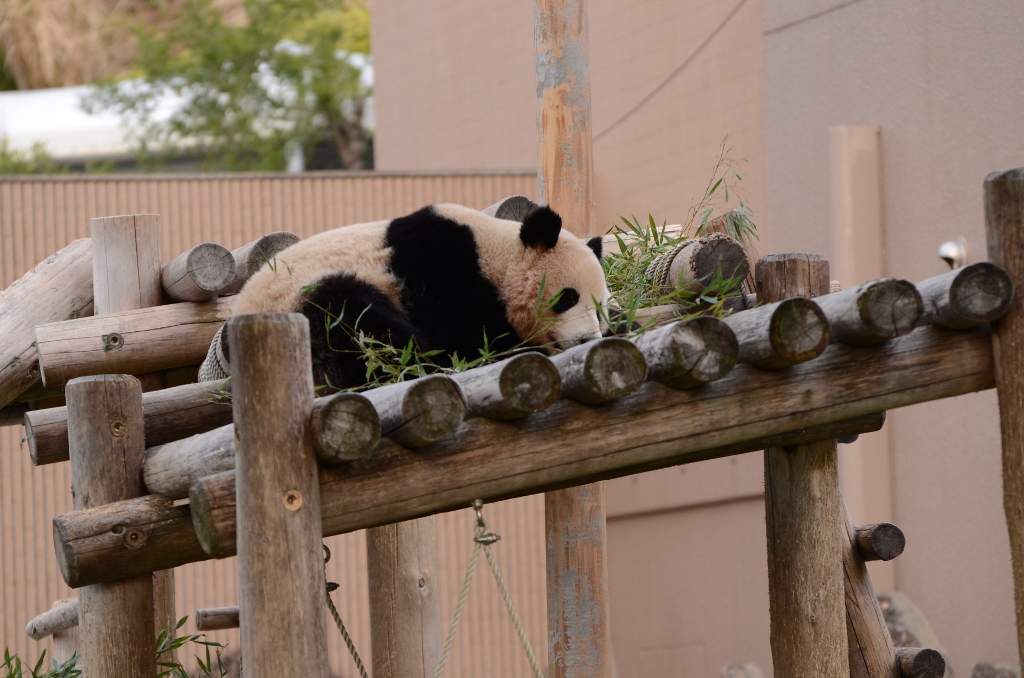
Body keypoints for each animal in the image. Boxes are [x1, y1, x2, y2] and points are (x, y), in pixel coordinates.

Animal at [224, 201, 606, 391]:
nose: (586, 339)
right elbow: (464, 333)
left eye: (600, 309)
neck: (495, 255)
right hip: (303, 302)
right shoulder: (441, 266)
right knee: (357, 327)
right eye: (567, 298)